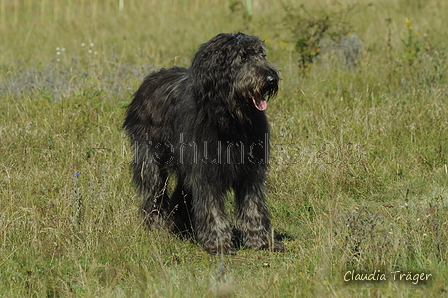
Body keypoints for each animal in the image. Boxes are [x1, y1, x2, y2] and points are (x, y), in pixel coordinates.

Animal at [123, 32, 284, 254]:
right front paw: (219, 243)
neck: (228, 119)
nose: (271, 79)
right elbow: (211, 207)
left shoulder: (251, 170)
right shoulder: (205, 169)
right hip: (150, 159)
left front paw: (262, 242)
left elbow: (254, 205)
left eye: (262, 55)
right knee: (154, 193)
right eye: (242, 57)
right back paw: (157, 227)